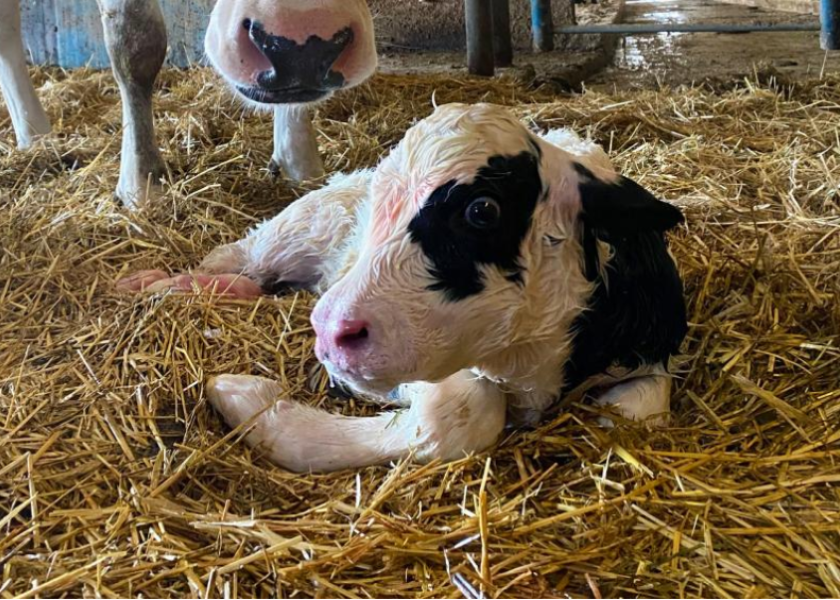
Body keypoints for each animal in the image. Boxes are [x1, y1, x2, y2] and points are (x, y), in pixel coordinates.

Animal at [121, 105, 684, 476]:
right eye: (383, 202)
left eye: (482, 210)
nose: (330, 330)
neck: (534, 366)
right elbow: (465, 413)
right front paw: (249, 399)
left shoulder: (652, 349)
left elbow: (636, 410)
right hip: (304, 223)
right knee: (234, 256)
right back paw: (159, 285)